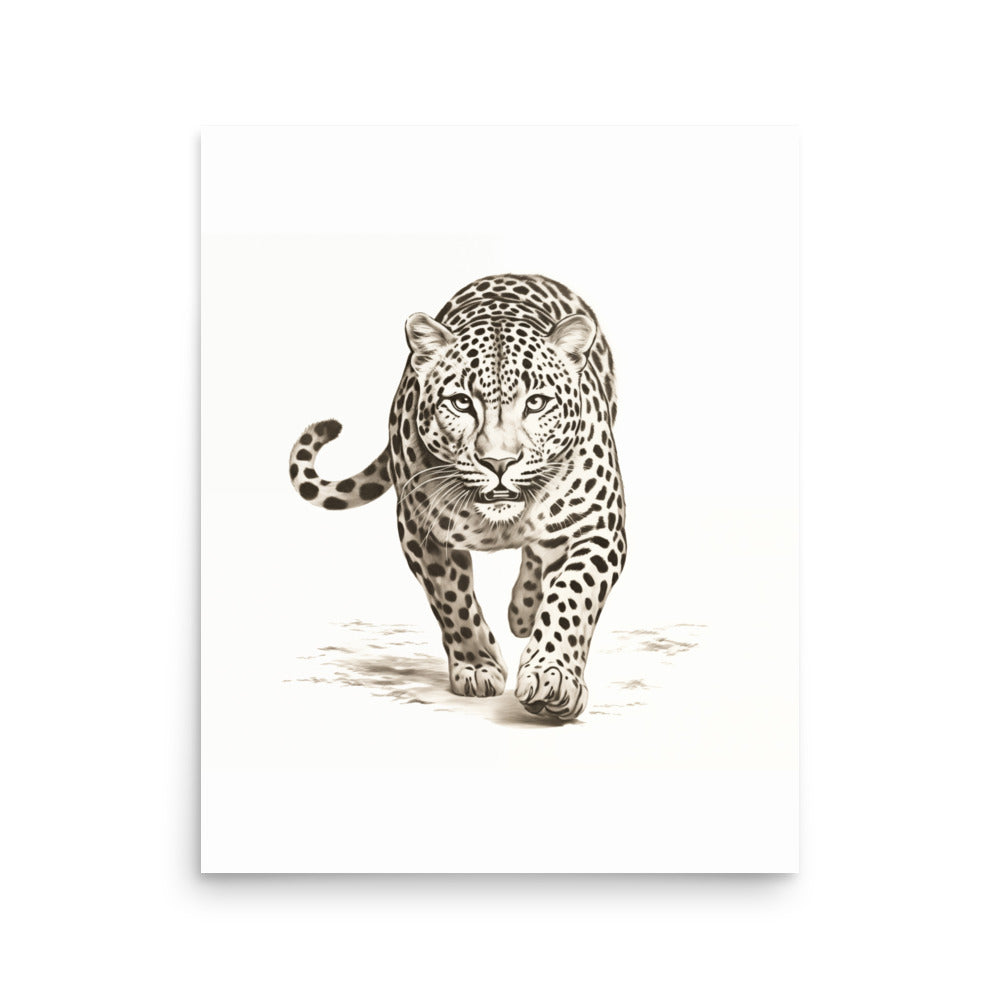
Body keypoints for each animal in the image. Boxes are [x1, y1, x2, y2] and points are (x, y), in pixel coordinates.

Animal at [289, 274, 626, 720]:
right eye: (461, 402)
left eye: (536, 402)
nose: (499, 462)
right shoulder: (421, 532)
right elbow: (452, 600)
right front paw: (478, 667)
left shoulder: (598, 526)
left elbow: (572, 597)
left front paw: (552, 677)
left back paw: (524, 613)